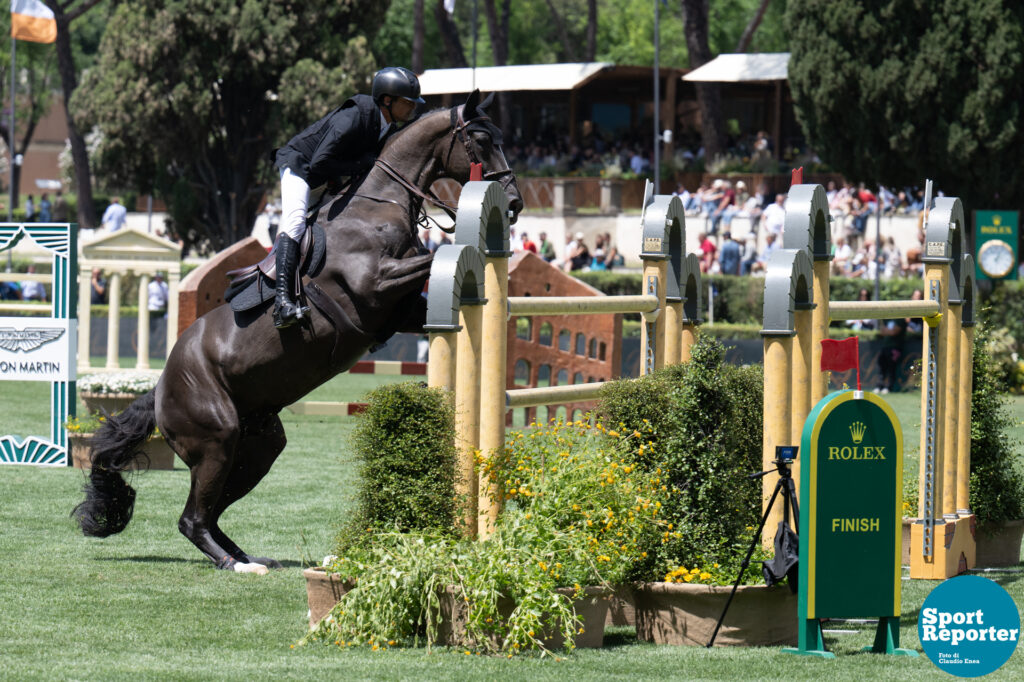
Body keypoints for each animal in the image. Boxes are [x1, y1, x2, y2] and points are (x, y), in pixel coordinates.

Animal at [73, 87, 524, 569]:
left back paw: (250, 558)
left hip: (257, 446)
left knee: (211, 511)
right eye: (481, 140)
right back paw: (235, 565)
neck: (377, 207)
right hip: (217, 439)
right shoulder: (374, 283)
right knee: (192, 519)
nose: (515, 204)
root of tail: (158, 390)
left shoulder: (398, 310)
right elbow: (433, 255)